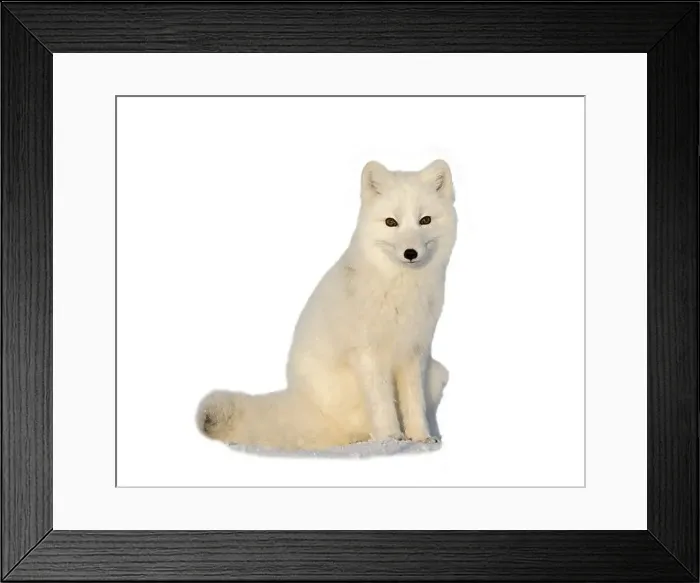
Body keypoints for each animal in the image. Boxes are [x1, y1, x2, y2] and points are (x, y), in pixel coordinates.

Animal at [196, 158, 458, 452]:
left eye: (425, 220)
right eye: (391, 222)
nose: (410, 253)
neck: (400, 289)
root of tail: (298, 401)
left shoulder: (414, 352)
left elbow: (414, 403)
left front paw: (420, 438)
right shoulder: (369, 353)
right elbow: (381, 404)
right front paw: (391, 438)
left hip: (438, 372)